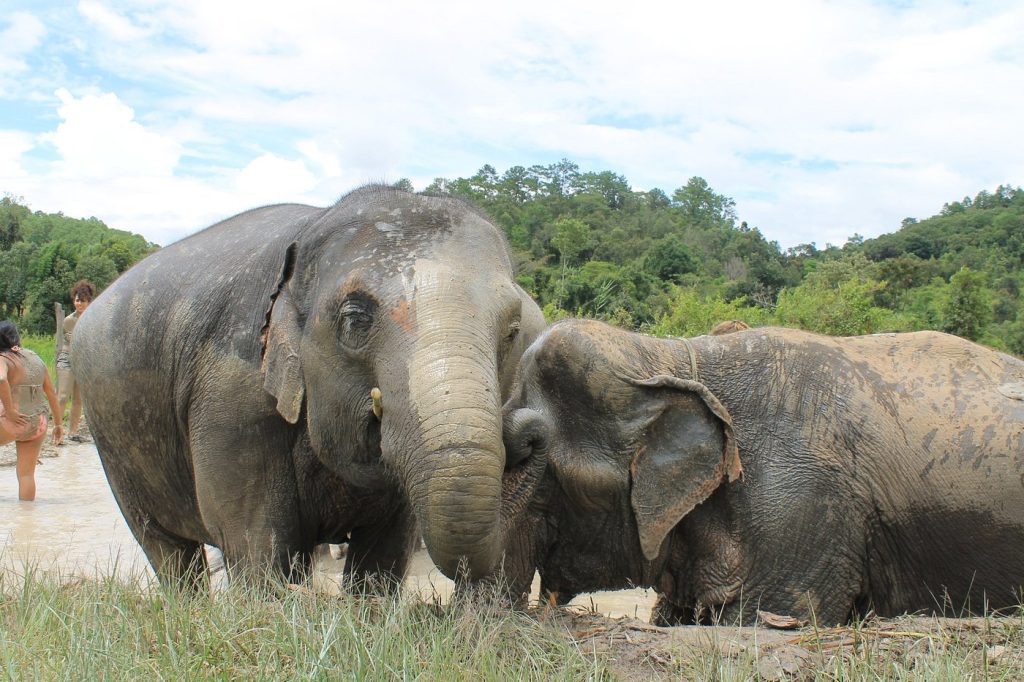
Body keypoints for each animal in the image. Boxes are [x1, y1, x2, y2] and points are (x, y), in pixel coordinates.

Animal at [72, 185, 547, 588]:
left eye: (512, 331)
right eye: (355, 320)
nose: (527, 430)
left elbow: (385, 554)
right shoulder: (229, 394)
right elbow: (253, 544)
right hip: (113, 444)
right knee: (165, 548)